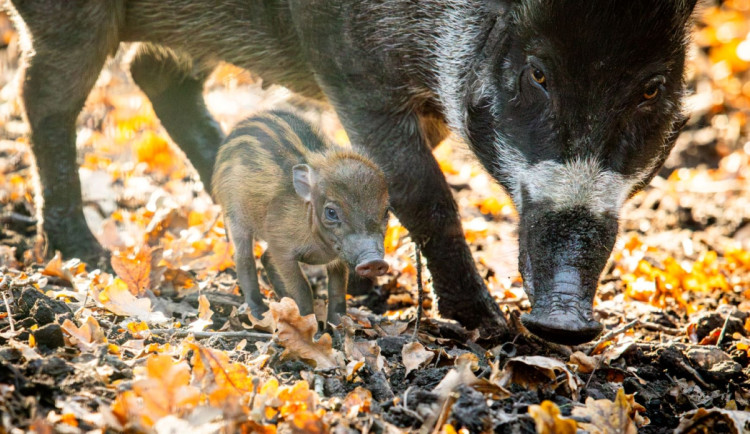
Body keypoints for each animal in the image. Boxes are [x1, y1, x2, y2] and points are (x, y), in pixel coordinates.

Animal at [5, 1, 700, 344]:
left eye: (651, 88)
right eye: (539, 73)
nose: (563, 323)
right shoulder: (352, 73)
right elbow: (423, 193)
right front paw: (484, 326)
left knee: (154, 74)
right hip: (68, 24)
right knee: (44, 96)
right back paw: (84, 252)